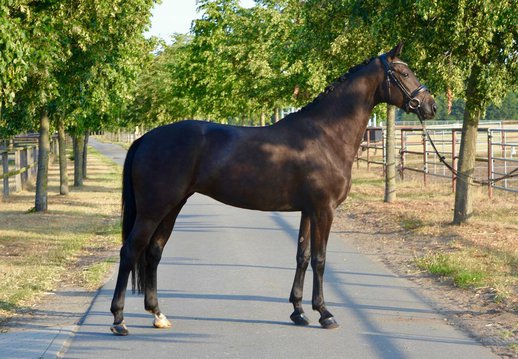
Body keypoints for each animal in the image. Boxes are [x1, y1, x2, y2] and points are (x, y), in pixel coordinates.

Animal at [110, 43, 438, 336]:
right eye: (404, 72)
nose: (431, 106)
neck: (325, 134)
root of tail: (146, 138)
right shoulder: (324, 210)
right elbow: (320, 259)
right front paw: (325, 313)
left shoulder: (308, 210)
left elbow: (302, 256)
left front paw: (299, 311)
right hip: (154, 209)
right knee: (131, 251)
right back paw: (119, 320)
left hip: (172, 206)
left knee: (153, 252)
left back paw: (158, 314)